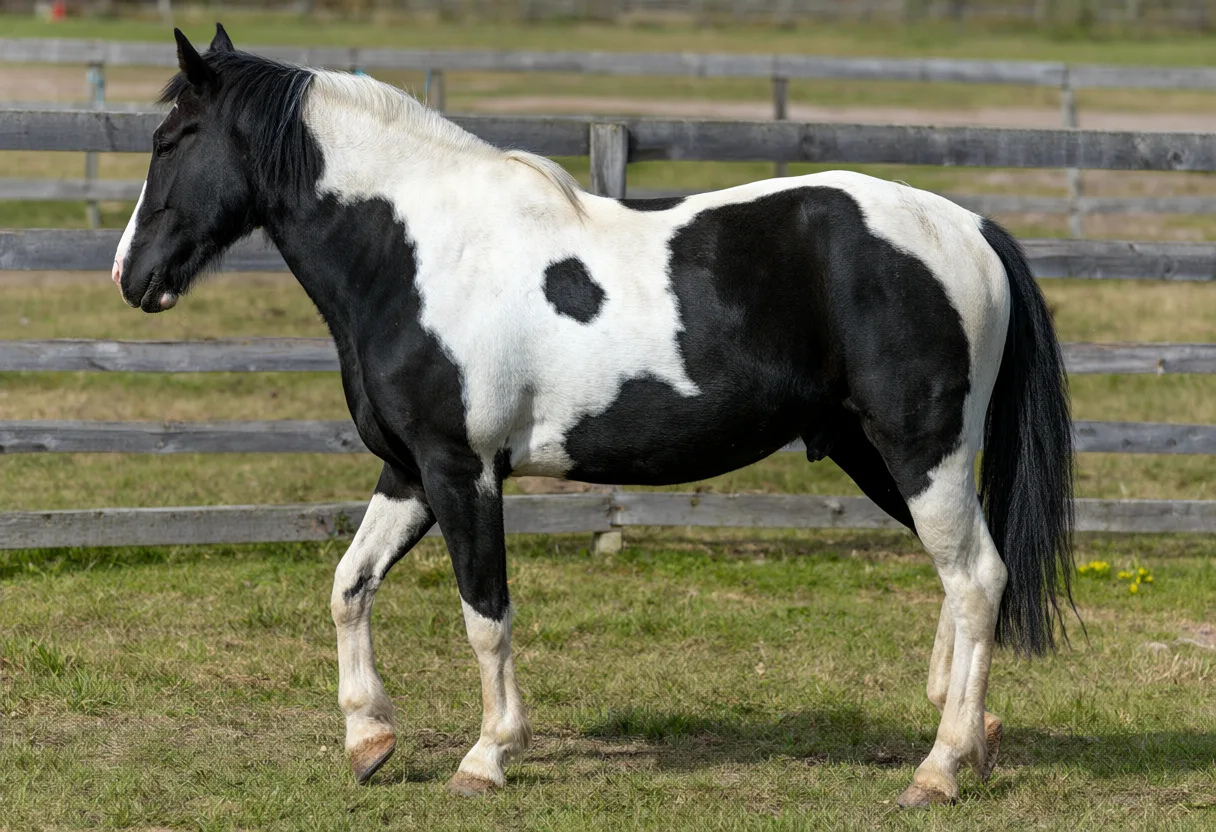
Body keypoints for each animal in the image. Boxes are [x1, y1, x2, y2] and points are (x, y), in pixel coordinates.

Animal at [113, 25, 1075, 806]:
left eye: (172, 139)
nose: (132, 275)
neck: (418, 254)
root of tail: (971, 228)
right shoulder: (409, 472)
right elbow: (349, 586)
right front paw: (369, 742)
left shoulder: (464, 472)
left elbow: (485, 613)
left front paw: (487, 757)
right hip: (875, 456)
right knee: (964, 577)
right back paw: (970, 732)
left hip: (921, 450)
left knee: (976, 578)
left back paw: (940, 768)